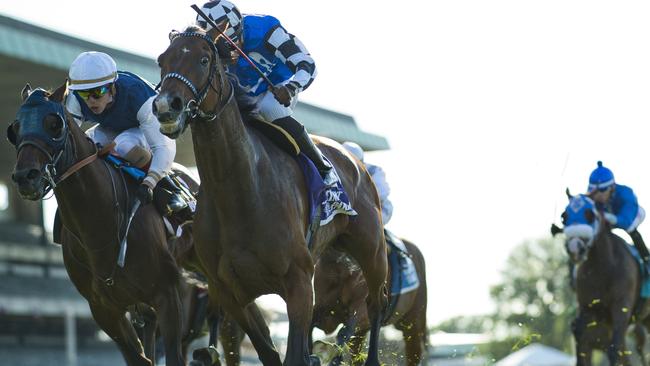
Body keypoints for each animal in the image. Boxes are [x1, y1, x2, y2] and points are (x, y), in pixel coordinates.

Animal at [8, 83, 201, 366]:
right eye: (15, 127)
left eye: (54, 124)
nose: (25, 177)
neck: (99, 226)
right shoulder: (104, 309)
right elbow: (140, 358)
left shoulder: (167, 294)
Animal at [152, 25, 384, 366]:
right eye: (162, 59)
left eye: (204, 59)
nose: (167, 106)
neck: (240, 194)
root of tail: (355, 160)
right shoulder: (230, 293)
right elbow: (269, 352)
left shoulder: (299, 282)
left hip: (371, 249)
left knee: (376, 303)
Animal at [552, 193, 648, 364]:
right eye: (564, 216)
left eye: (590, 214)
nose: (575, 247)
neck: (603, 269)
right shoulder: (588, 309)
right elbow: (580, 335)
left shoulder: (621, 307)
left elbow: (614, 349)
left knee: (639, 348)